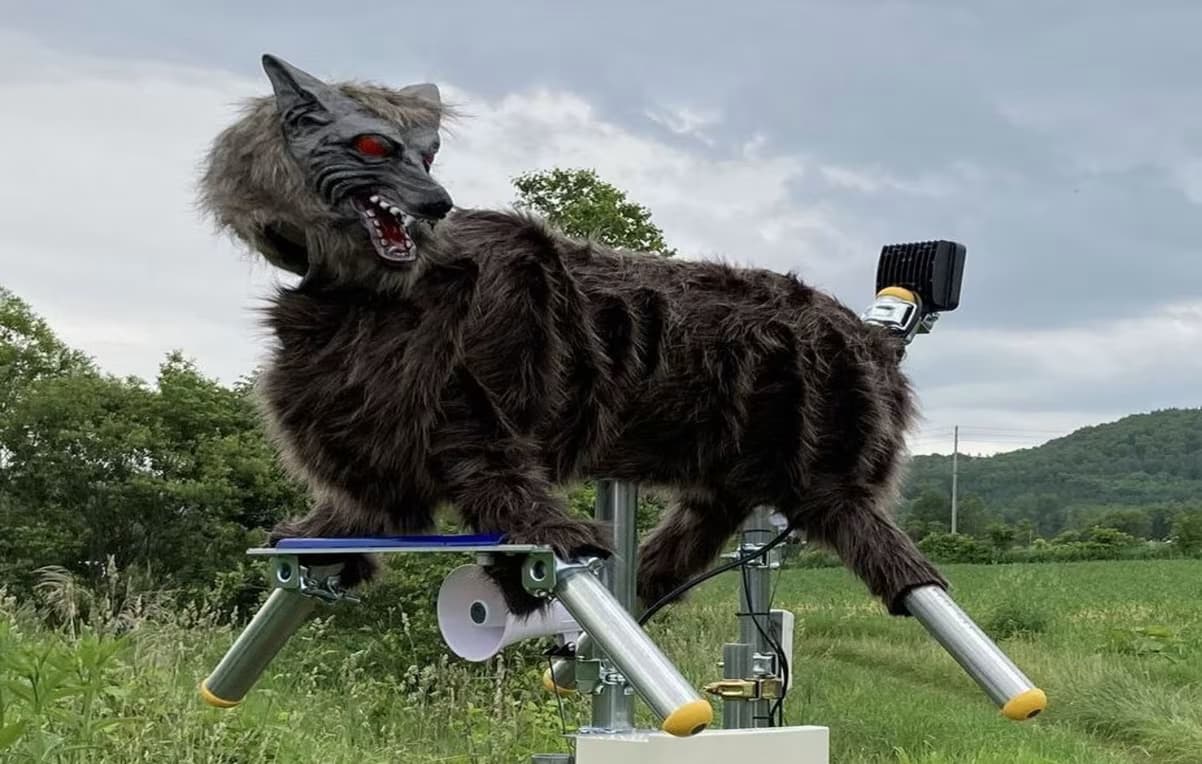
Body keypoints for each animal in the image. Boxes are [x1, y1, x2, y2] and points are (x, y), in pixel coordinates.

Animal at [197, 54, 948, 618]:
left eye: (430, 155)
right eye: (373, 145)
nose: (437, 204)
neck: (359, 299)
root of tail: (873, 339)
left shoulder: (478, 426)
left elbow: (511, 496)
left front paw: (541, 556)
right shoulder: (384, 450)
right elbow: (360, 510)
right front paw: (316, 535)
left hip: (828, 472)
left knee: (895, 555)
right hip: (731, 469)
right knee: (694, 531)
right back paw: (645, 578)